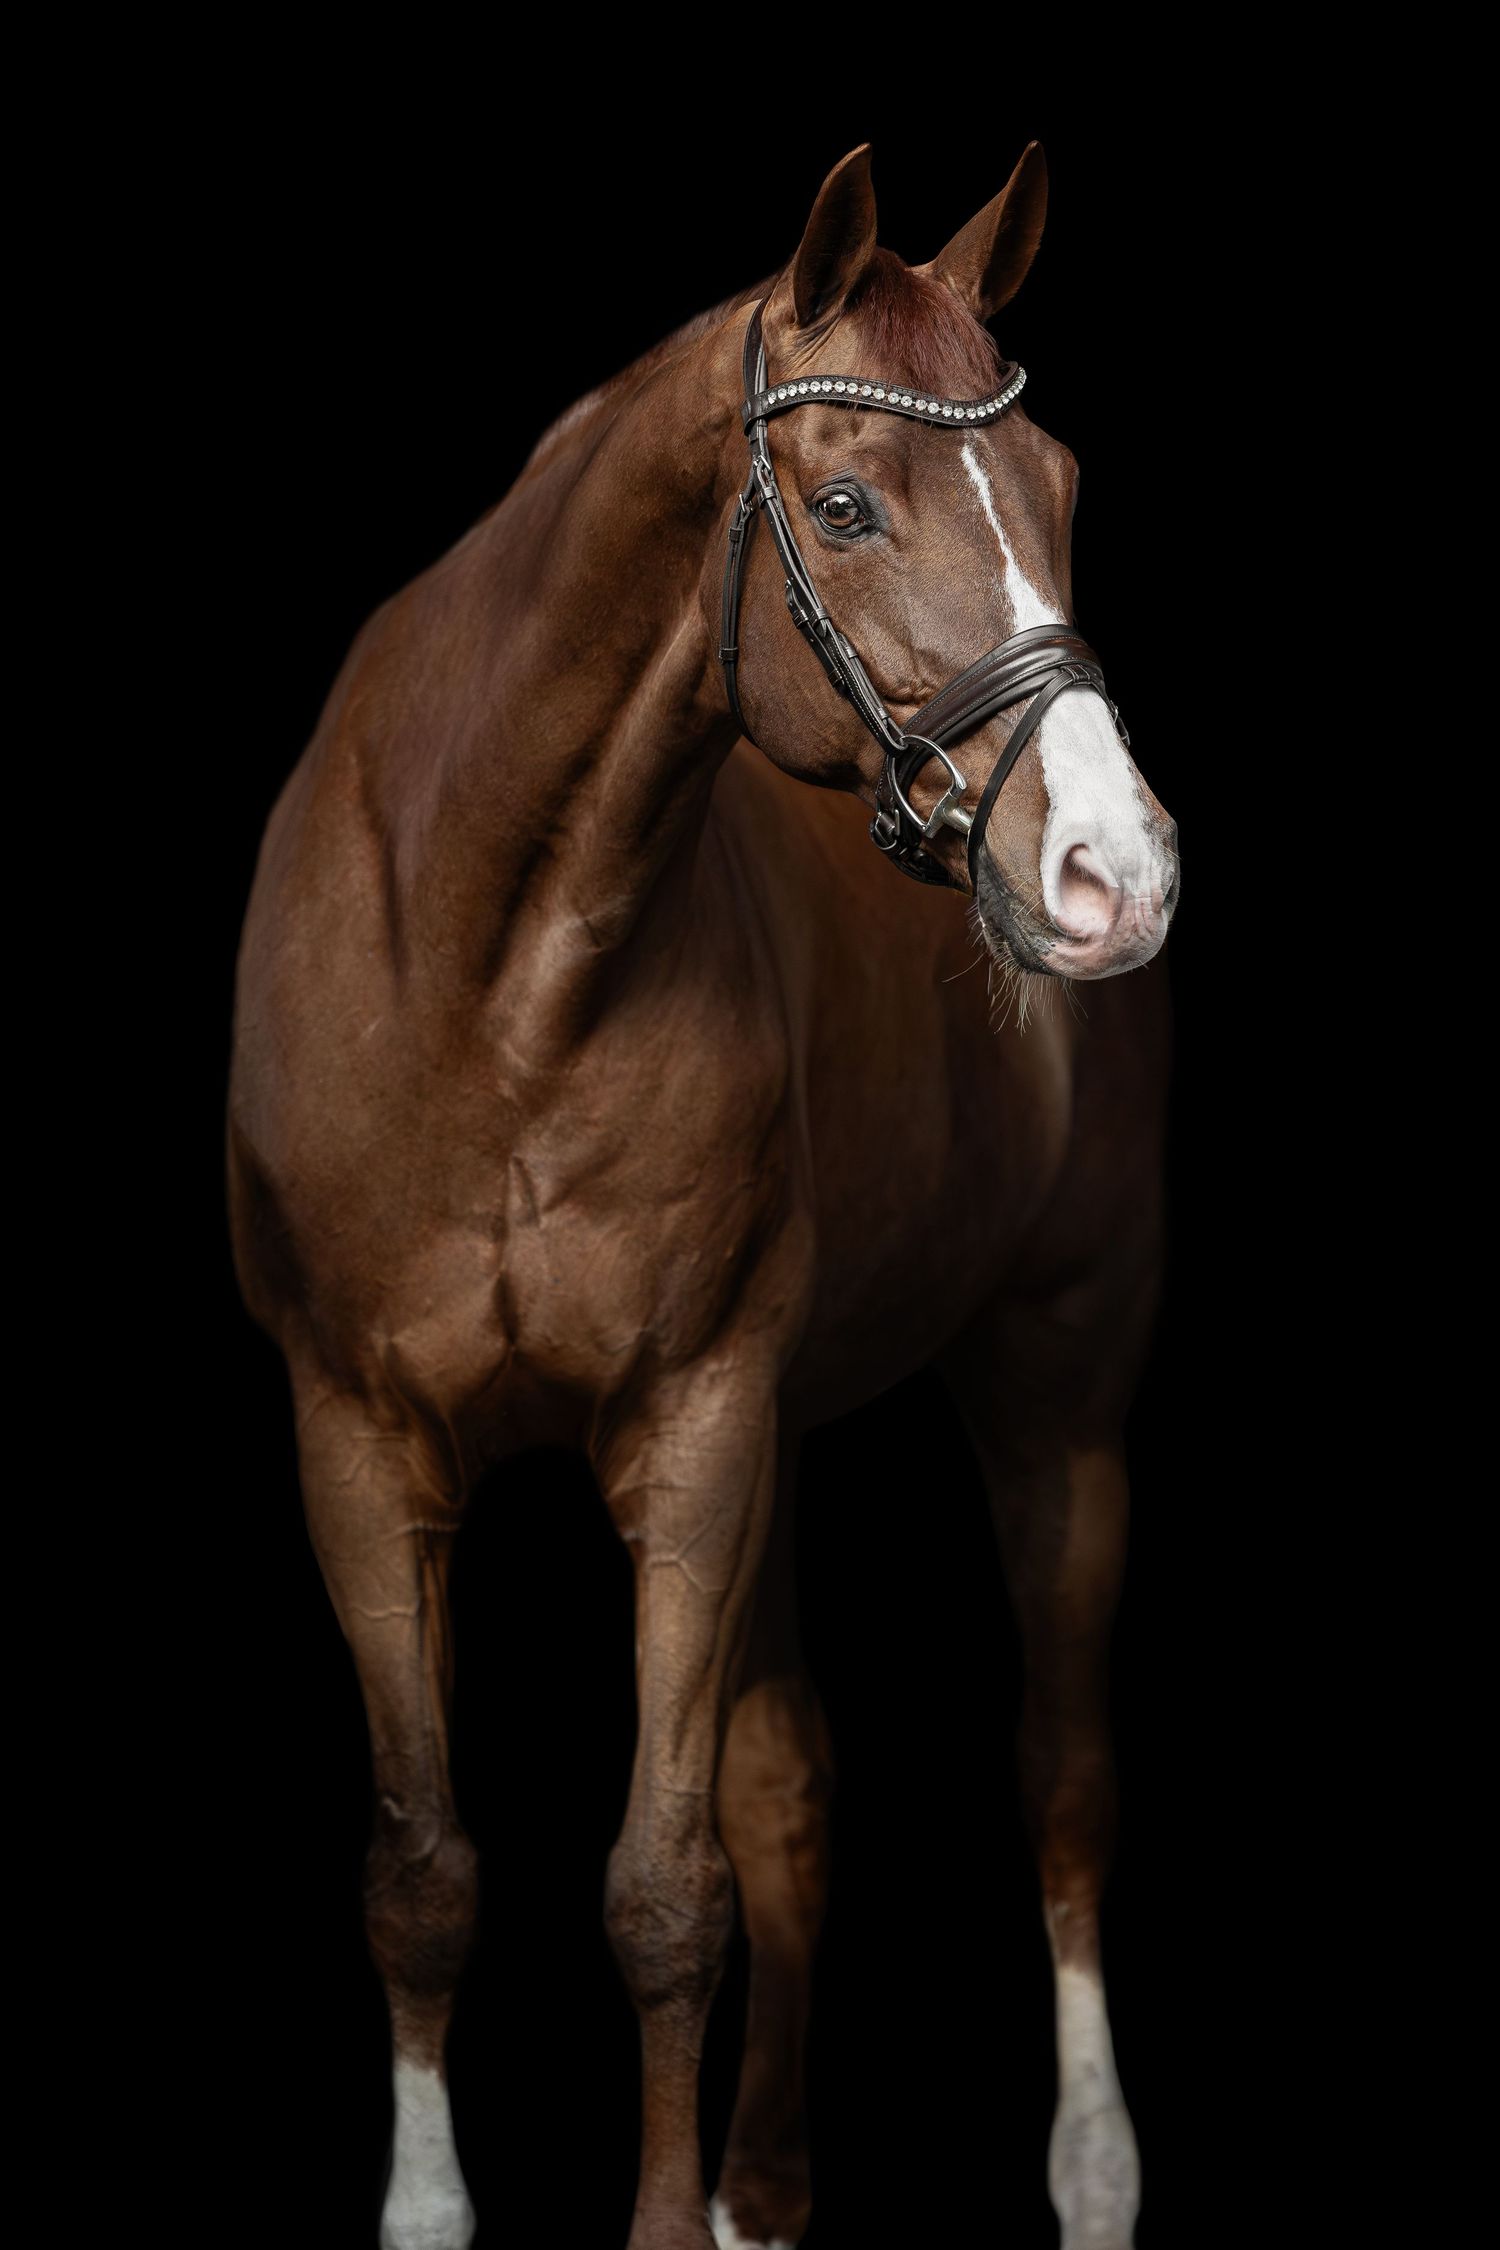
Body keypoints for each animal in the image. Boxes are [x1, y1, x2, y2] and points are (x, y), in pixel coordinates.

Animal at [227, 140, 1179, 2250]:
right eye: (843, 503)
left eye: (1063, 481)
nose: (1117, 870)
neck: (494, 976)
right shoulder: (361, 1439)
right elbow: (426, 1872)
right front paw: (438, 2212)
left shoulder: (694, 1428)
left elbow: (666, 1890)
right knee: (795, 1789)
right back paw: (766, 2188)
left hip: (1055, 1374)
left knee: (1063, 1783)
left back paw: (1090, 2174)